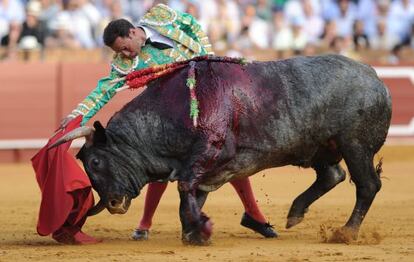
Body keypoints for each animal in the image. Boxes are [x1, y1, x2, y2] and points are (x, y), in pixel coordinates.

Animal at [54, 54, 392, 245]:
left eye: (96, 162)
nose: (111, 203)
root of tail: (375, 77)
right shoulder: (203, 166)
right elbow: (191, 193)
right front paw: (193, 232)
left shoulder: (209, 151)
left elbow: (186, 187)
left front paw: (201, 230)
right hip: (317, 147)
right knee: (332, 175)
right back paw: (295, 214)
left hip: (355, 145)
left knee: (367, 185)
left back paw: (347, 232)